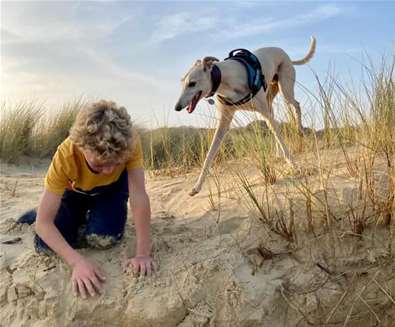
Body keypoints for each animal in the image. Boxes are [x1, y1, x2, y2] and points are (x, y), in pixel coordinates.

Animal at [175, 36, 318, 196]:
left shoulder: (263, 110)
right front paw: (197, 186)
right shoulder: (224, 122)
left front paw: (295, 166)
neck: (227, 80)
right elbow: (210, 155)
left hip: (285, 89)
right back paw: (277, 154)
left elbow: (283, 142)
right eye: (182, 83)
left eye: (192, 83)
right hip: (270, 101)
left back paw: (299, 129)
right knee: (275, 125)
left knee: (295, 106)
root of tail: (286, 55)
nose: (177, 107)